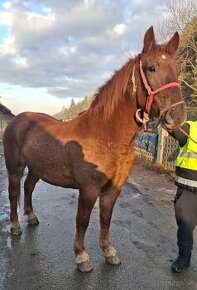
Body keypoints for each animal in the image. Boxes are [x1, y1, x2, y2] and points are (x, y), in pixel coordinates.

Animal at [3, 26, 187, 272]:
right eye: (151, 68)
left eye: (177, 69)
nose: (177, 116)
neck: (105, 137)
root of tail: (17, 119)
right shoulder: (88, 188)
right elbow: (83, 220)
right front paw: (82, 256)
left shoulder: (114, 188)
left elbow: (106, 218)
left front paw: (109, 252)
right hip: (15, 167)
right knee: (14, 193)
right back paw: (15, 226)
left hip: (36, 169)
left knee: (28, 187)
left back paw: (31, 217)